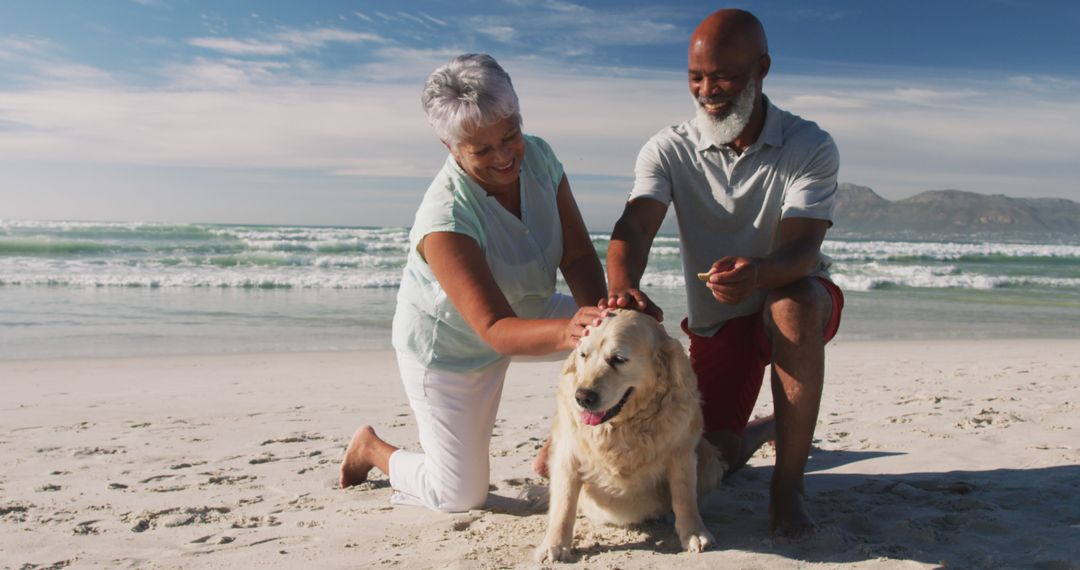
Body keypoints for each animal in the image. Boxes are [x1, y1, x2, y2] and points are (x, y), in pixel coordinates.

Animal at [533, 306, 725, 561]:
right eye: (583, 355)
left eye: (618, 359)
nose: (582, 397)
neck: (621, 426)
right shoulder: (567, 456)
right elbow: (563, 504)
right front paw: (554, 545)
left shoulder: (682, 452)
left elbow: (685, 497)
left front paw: (694, 532)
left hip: (709, 456)